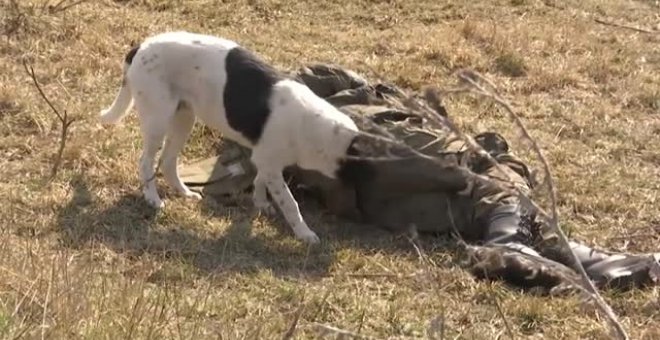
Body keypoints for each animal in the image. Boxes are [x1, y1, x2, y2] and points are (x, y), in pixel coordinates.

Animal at [99, 31, 360, 242]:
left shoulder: (265, 161)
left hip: (184, 118)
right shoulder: (271, 164)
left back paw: (184, 192)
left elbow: (260, 181)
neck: (313, 125)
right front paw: (304, 233)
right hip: (158, 120)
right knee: (146, 162)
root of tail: (141, 46)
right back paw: (152, 198)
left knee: (168, 161)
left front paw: (260, 203)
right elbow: (290, 203)